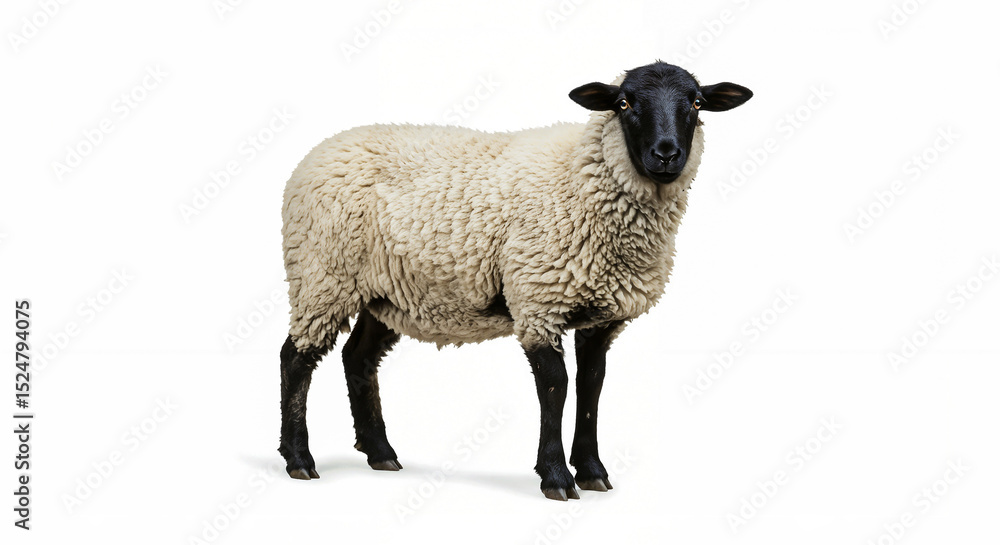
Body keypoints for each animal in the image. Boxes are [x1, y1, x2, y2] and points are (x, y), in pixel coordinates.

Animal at [279, 61, 752, 501]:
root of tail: (319, 151)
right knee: (295, 358)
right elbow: (556, 387)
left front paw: (592, 471)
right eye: (623, 103)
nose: (667, 154)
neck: (581, 180)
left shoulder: (601, 317)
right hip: (321, 276)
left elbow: (592, 385)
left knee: (357, 358)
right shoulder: (538, 301)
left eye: (696, 103)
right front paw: (557, 477)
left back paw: (380, 453)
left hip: (384, 291)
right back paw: (299, 459)